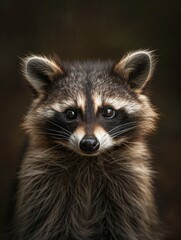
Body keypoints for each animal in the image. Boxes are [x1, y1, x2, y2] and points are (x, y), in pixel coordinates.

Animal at [14, 49, 161, 239]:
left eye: (108, 111)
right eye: (70, 113)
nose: (89, 143)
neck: (89, 159)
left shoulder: (130, 183)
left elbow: (126, 225)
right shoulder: (42, 184)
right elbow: (46, 223)